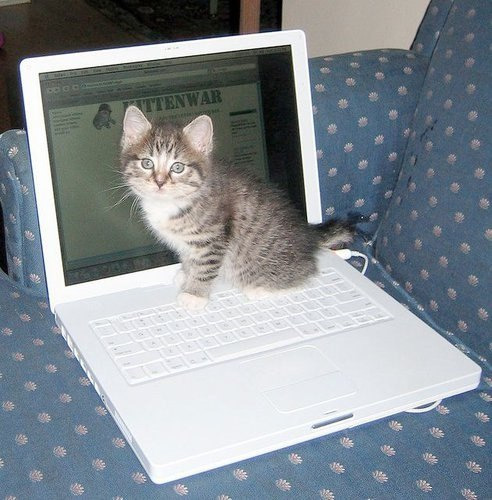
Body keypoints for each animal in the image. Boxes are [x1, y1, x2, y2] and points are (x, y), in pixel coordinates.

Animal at [120, 105, 353, 309]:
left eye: (177, 167)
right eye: (147, 163)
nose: (159, 182)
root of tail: (307, 233)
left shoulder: (214, 238)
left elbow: (205, 267)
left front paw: (194, 295)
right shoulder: (189, 243)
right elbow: (189, 258)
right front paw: (186, 273)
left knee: (308, 272)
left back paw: (261, 289)